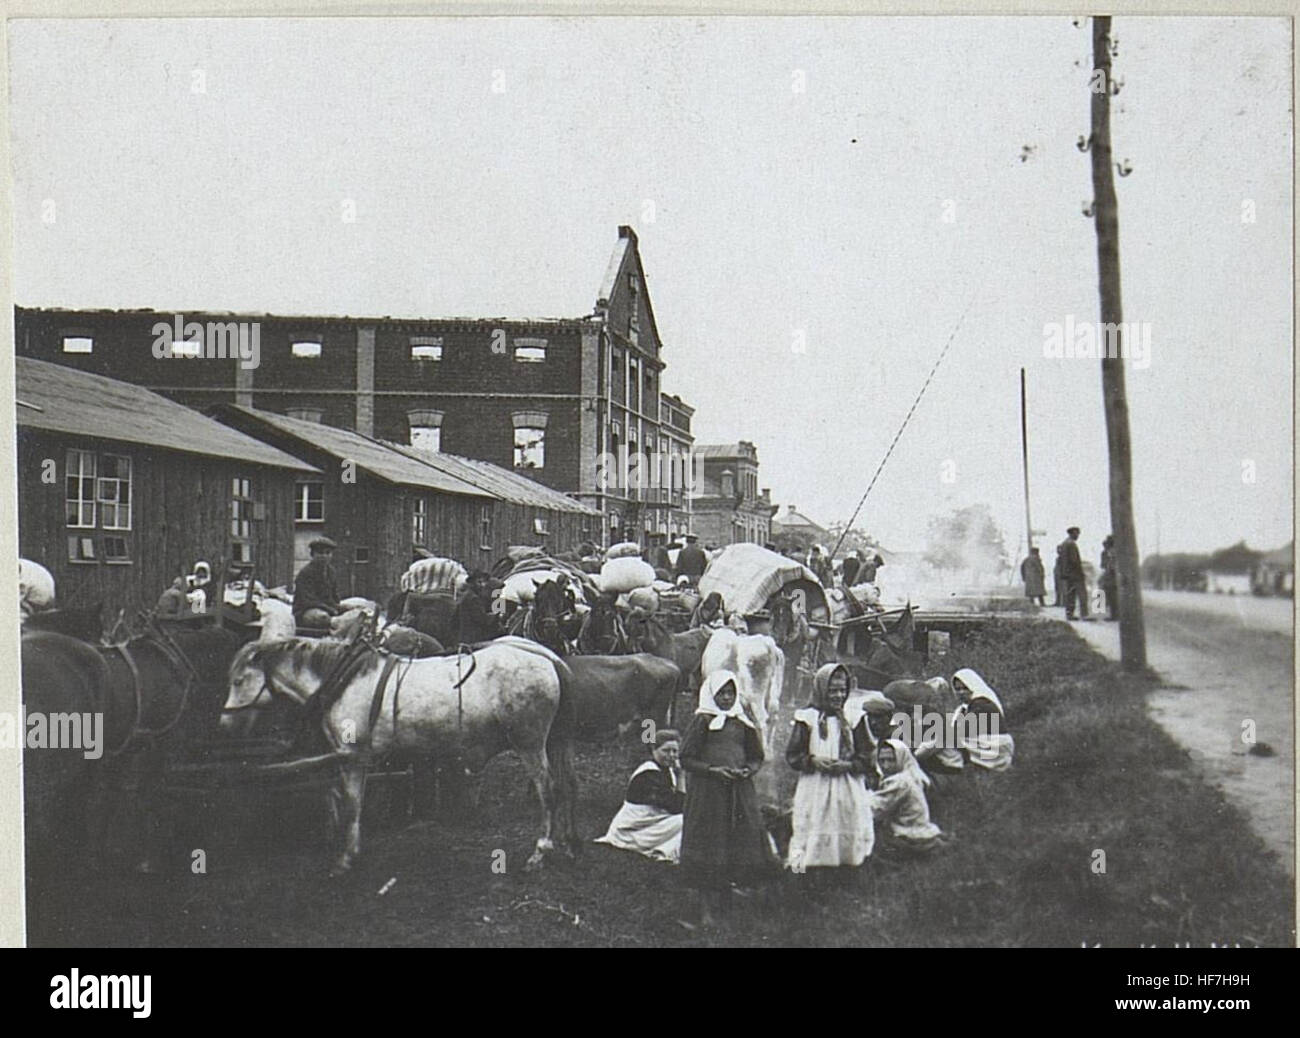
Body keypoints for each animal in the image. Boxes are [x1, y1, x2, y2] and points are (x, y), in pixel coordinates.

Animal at [224, 637, 579, 874]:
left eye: (239, 680)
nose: (224, 724)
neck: (344, 680)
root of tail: (548, 657)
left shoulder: (352, 756)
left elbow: (352, 803)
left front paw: (346, 858)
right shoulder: (351, 758)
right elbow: (343, 798)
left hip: (530, 743)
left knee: (548, 790)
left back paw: (540, 851)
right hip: (551, 741)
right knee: (564, 787)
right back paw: (565, 844)